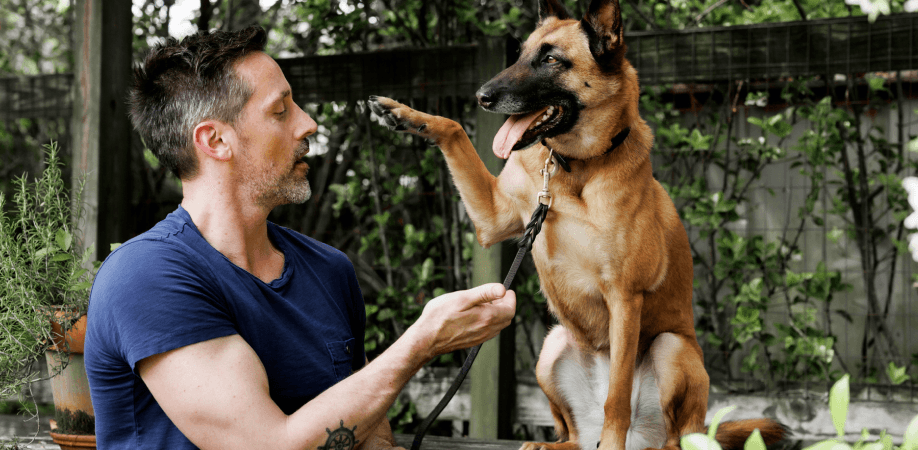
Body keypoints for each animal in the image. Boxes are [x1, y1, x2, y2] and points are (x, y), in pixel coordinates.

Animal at [366, 0, 792, 446]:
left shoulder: (625, 298)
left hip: (670, 348)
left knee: (673, 434)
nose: (482, 97)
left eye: (551, 60)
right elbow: (454, 129)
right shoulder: (492, 218)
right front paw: (404, 114)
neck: (575, 168)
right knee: (570, 432)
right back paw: (553, 444)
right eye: (520, 55)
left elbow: (617, 398)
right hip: (551, 347)